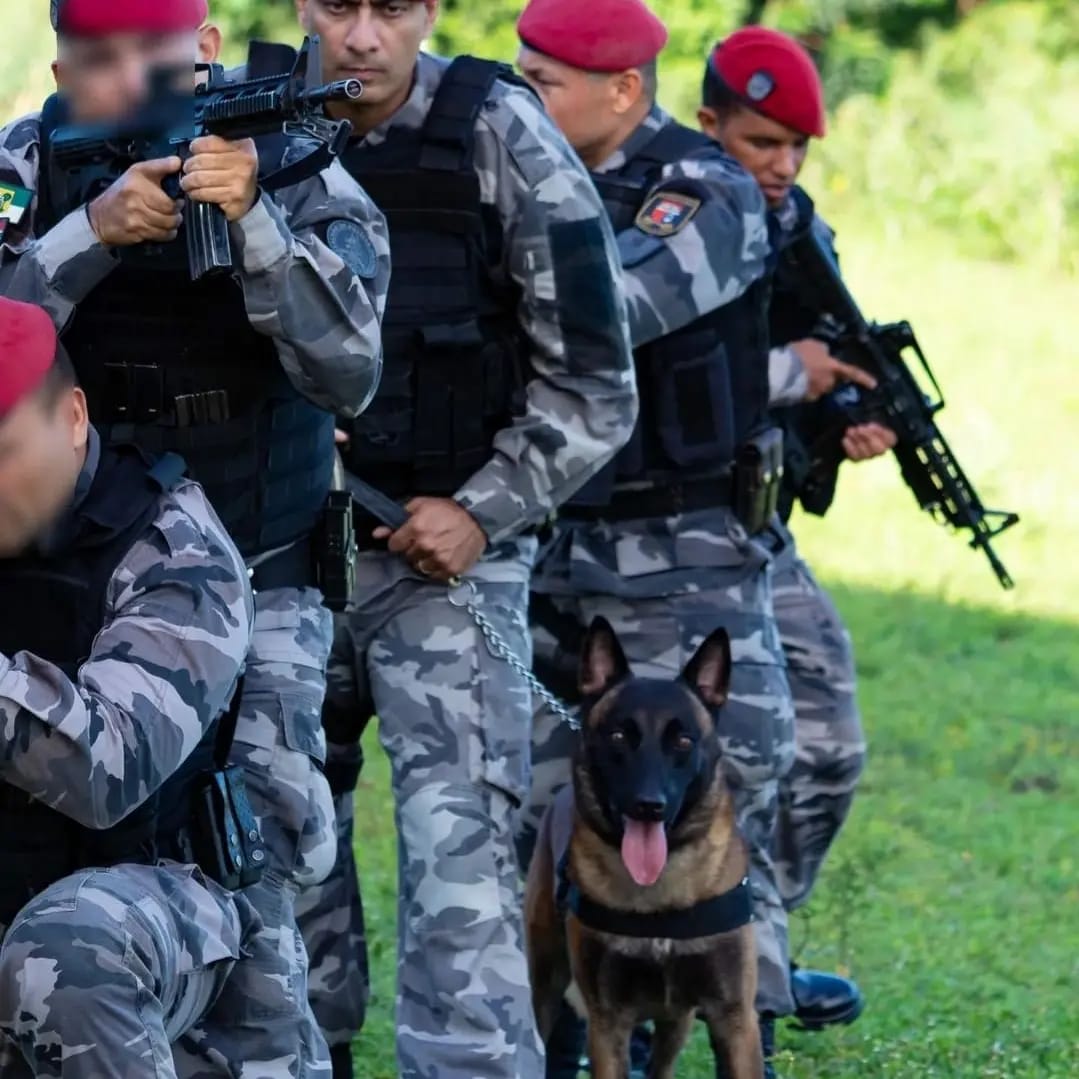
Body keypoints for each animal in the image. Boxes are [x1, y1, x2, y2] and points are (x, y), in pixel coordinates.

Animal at [524, 617, 762, 1079]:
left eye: (683, 741)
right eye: (619, 735)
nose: (648, 806)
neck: (659, 895)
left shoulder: (735, 1019)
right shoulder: (607, 1024)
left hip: (677, 1024)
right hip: (545, 985)